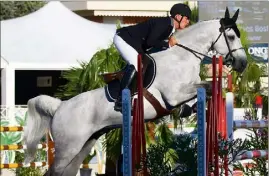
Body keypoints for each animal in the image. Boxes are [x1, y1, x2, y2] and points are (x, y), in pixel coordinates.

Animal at [24, 8, 246, 175]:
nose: (242, 64)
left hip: (83, 145)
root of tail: (60, 106)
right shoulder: (174, 94)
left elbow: (205, 89)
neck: (183, 56)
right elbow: (206, 87)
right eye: (231, 36)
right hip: (67, 148)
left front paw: (189, 109)